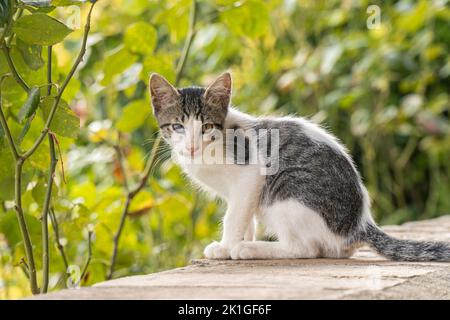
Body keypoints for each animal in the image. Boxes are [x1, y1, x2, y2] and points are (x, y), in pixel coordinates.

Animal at [149, 72, 450, 260]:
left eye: (207, 127)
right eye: (177, 126)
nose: (191, 146)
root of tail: (359, 223)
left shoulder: (250, 175)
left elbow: (234, 216)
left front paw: (228, 247)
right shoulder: (240, 193)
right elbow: (244, 215)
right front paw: (241, 239)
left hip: (287, 194)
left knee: (303, 248)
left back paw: (252, 250)